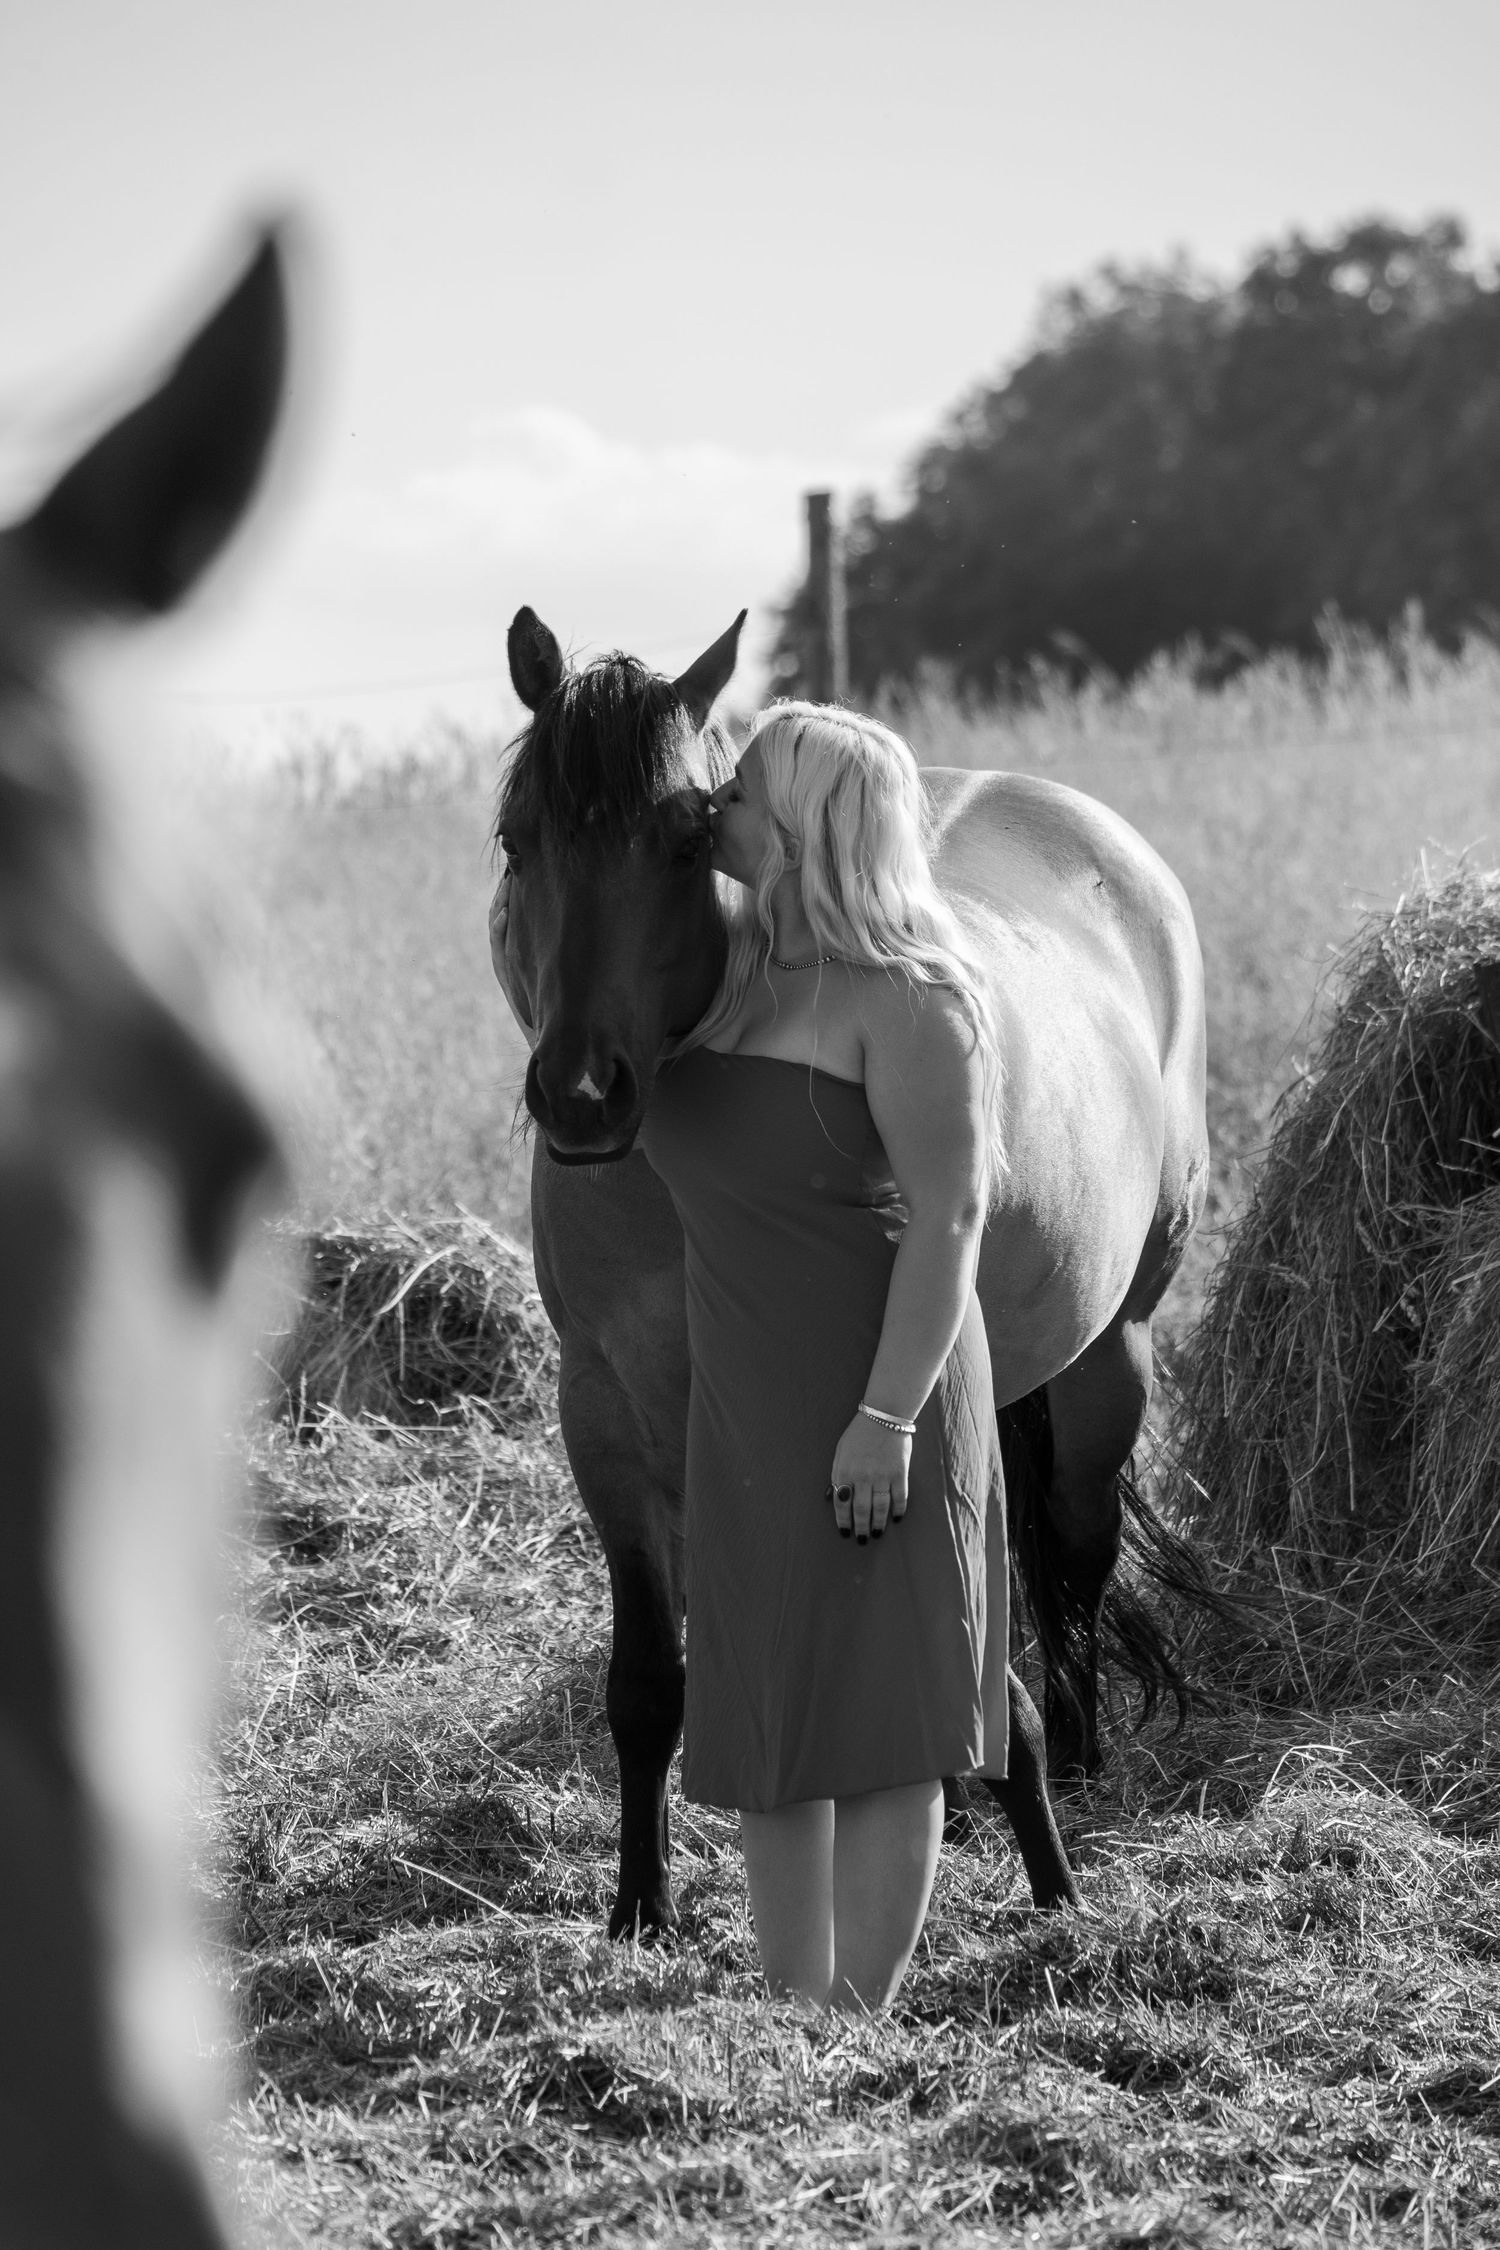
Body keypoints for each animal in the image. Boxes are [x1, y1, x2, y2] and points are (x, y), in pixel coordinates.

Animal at [490, 608, 1211, 1941]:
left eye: (684, 839)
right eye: (520, 838)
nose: (583, 1094)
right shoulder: (605, 1419)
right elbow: (648, 1679)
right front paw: (640, 1910)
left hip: (1111, 1352)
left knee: (1074, 1549)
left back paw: (1079, 1756)